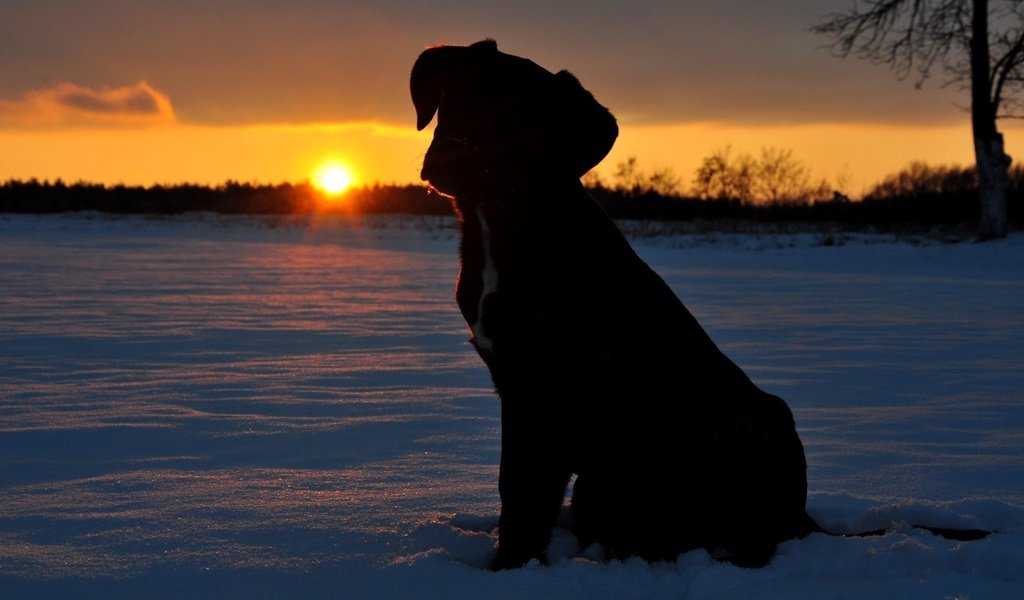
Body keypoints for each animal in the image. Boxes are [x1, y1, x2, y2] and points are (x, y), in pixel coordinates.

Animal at [411, 39, 987, 569]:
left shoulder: (542, 393)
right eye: (457, 97)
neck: (501, 224)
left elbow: (525, 496)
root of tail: (799, 518)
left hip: (732, 435)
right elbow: (514, 487)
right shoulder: (516, 387)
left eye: (520, 118)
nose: (450, 157)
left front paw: (509, 568)